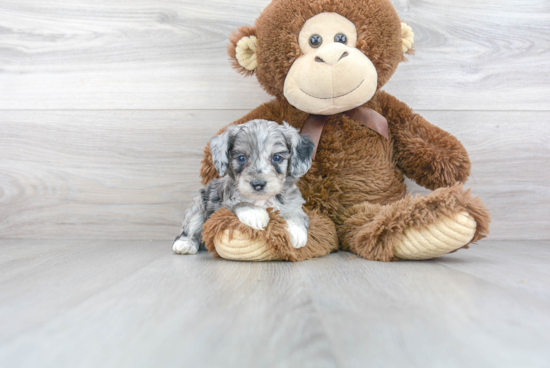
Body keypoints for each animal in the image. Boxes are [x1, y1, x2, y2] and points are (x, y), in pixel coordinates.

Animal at [175, 119, 316, 254]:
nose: (258, 184)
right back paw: (185, 244)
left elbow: (295, 214)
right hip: (198, 207)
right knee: (190, 228)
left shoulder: (294, 204)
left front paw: (297, 230)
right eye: (241, 158)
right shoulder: (225, 206)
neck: (262, 200)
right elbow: (241, 203)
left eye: (277, 157)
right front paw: (255, 213)